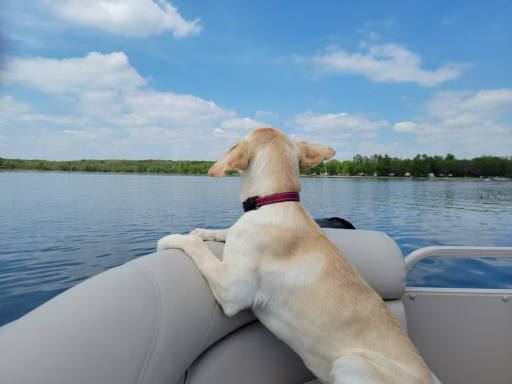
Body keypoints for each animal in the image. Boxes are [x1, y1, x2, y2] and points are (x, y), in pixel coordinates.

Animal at [156, 127, 432, 382]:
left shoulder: (231, 290)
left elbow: (195, 245)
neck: (276, 200)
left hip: (351, 362)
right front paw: (204, 230)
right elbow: (223, 231)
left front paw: (171, 239)